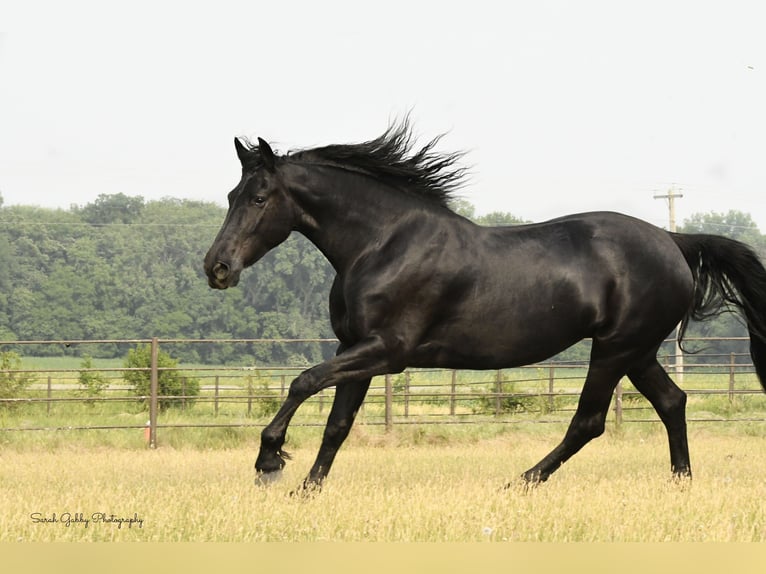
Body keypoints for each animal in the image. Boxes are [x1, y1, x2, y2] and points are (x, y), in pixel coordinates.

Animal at [204, 119, 766, 492]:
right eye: (231, 194)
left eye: (258, 198)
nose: (217, 268)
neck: (384, 243)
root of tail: (673, 241)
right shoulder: (354, 348)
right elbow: (337, 423)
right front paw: (307, 491)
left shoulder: (387, 350)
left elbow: (304, 381)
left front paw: (269, 462)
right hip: (638, 351)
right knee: (673, 402)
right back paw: (680, 484)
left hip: (614, 349)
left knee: (589, 421)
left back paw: (520, 482)